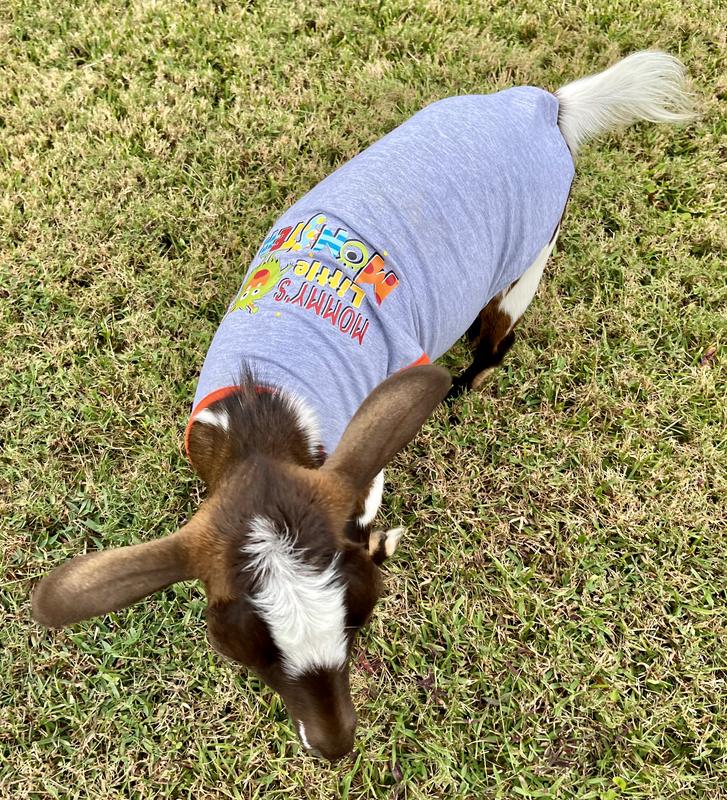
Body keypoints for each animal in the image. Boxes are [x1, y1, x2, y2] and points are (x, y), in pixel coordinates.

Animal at [32, 51, 692, 764]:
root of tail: (548, 106)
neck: (259, 422)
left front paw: (383, 541)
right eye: (239, 653)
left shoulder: (357, 462)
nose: (335, 745)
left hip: (532, 252)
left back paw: (463, 383)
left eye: (362, 615)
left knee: (498, 338)